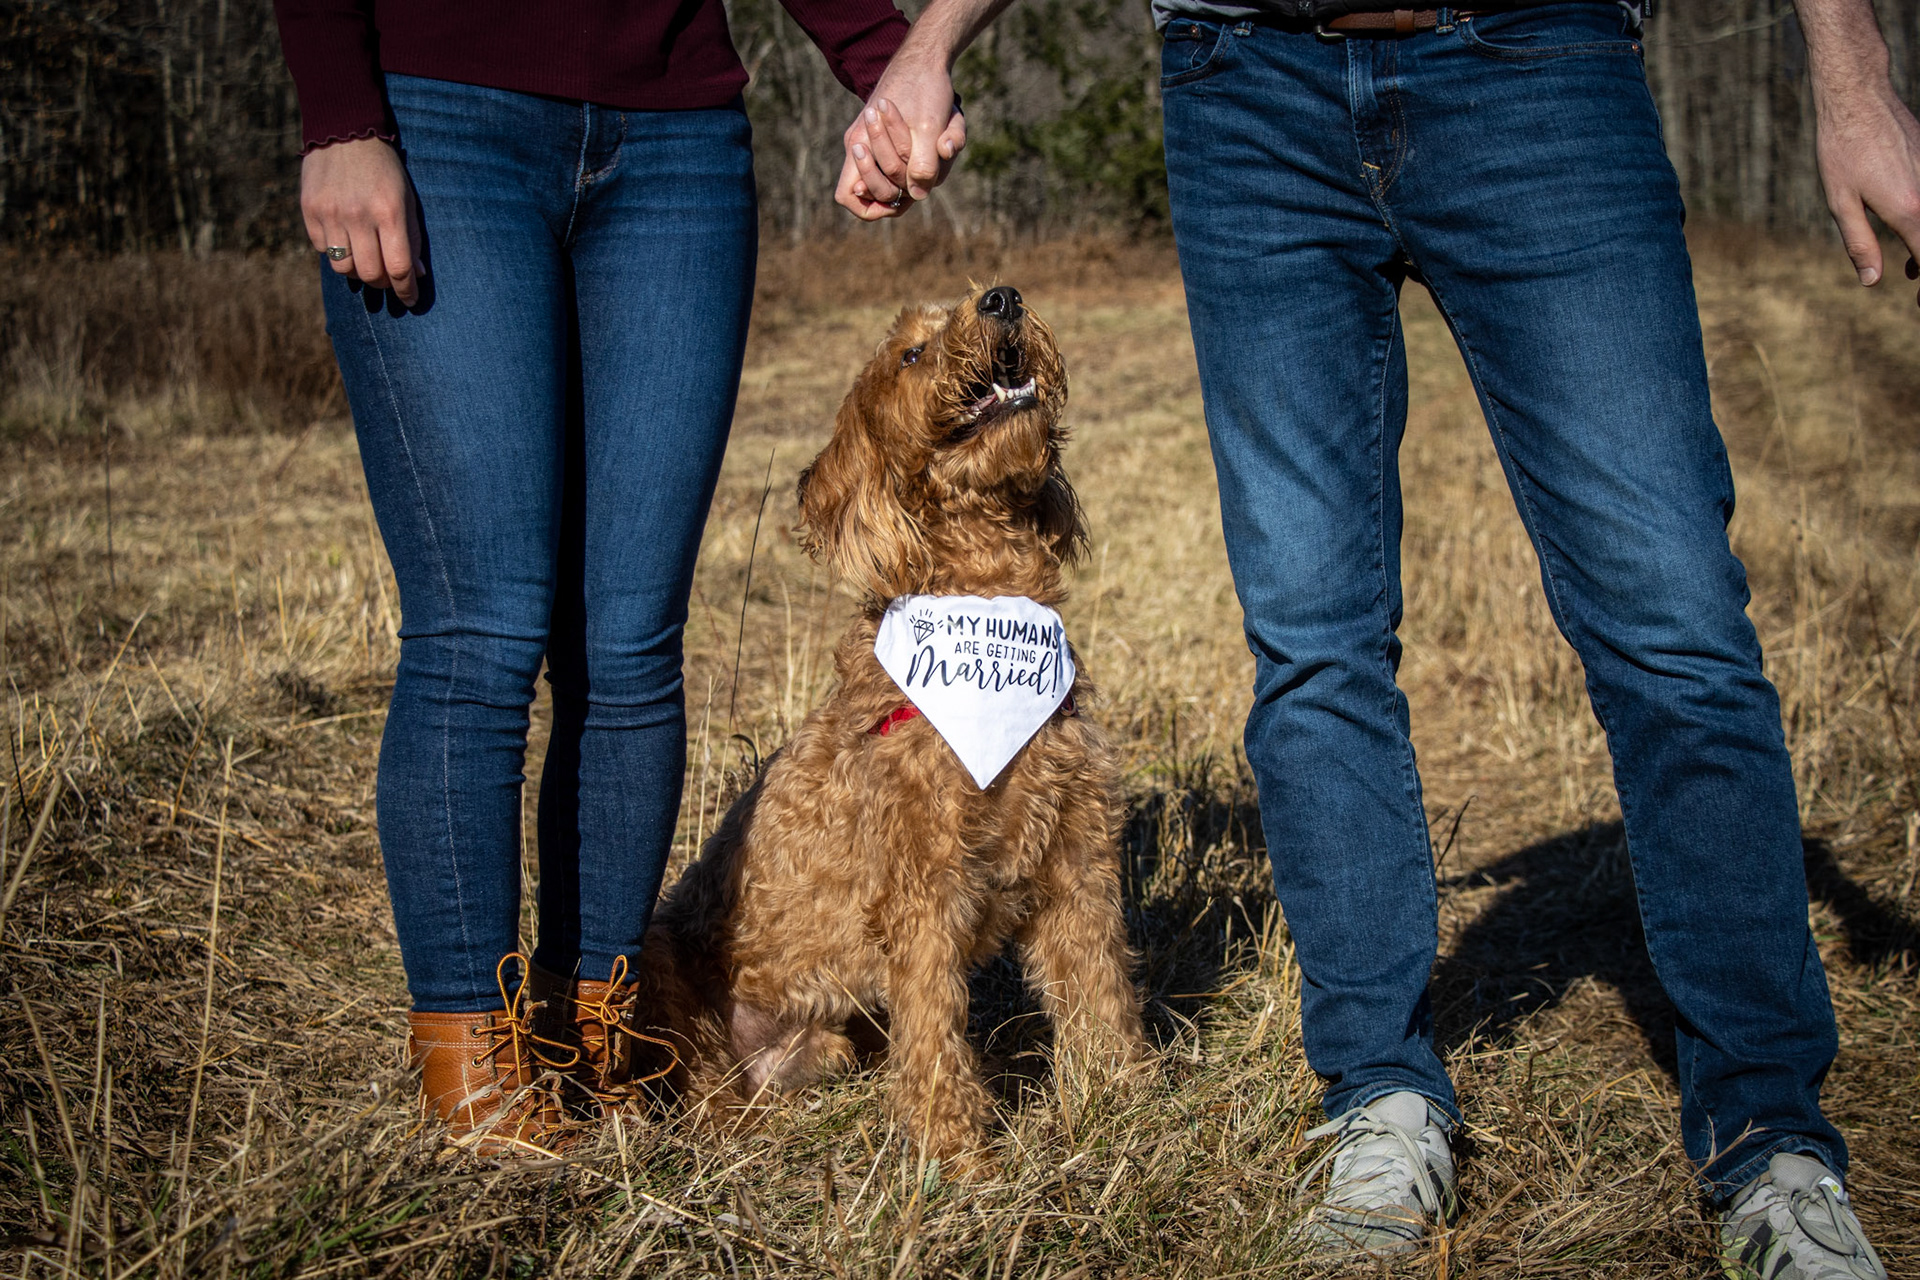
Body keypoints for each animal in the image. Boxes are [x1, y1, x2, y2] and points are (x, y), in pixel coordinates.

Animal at [632, 283, 1148, 1172]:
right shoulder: (922, 889)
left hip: (834, 1041)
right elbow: (936, 1031)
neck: (986, 599)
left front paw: (1129, 1096)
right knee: (705, 1086)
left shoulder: (1077, 858)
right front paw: (958, 1155)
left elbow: (1100, 987)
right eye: (911, 353)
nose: (1003, 298)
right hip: (665, 960)